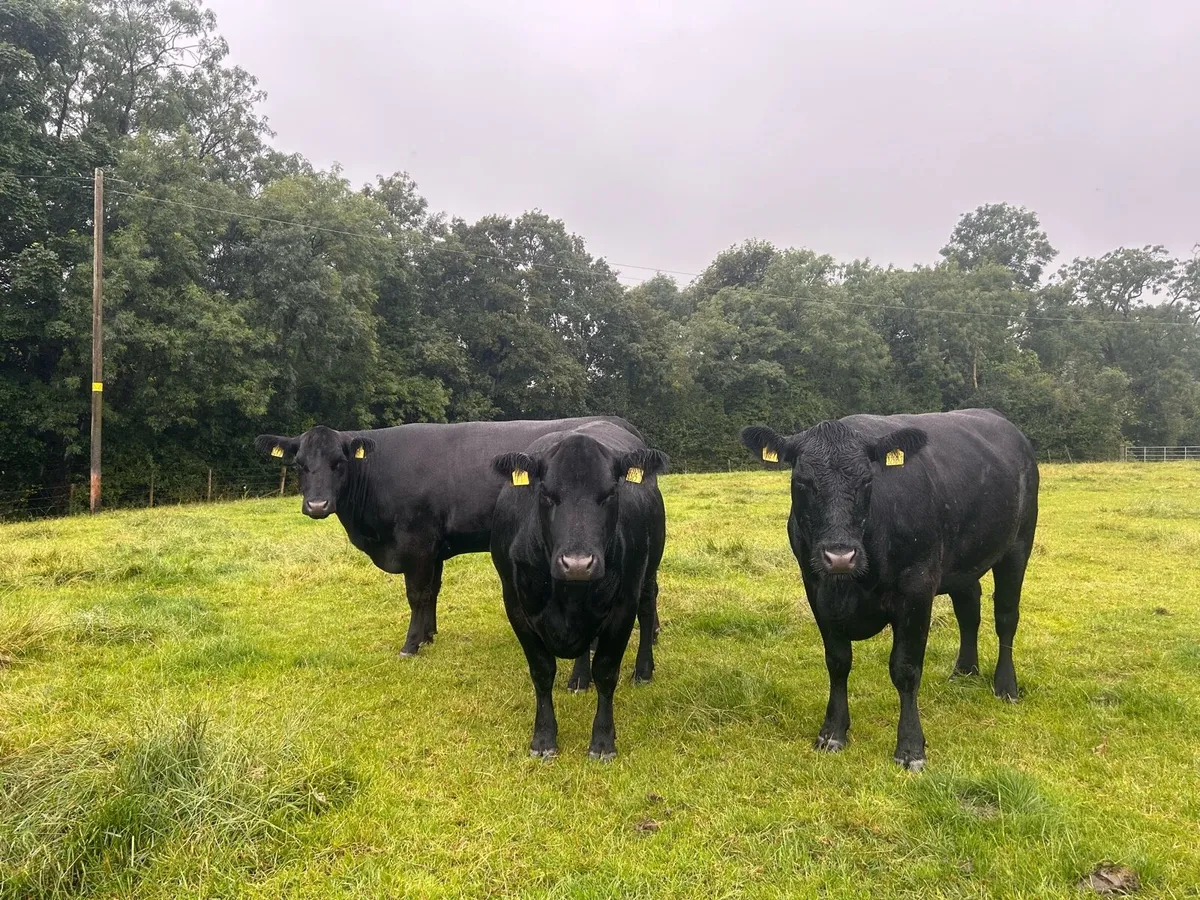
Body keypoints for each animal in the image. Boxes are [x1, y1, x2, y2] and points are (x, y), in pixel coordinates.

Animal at [254, 417, 653, 664]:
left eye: (339, 462)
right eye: (300, 464)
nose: (317, 505)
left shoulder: (416, 542)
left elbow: (417, 594)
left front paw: (411, 644)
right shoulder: (434, 548)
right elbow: (432, 591)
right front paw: (428, 635)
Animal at [489, 420, 668, 760]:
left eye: (610, 494)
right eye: (546, 494)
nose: (577, 564)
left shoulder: (623, 606)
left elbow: (607, 672)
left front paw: (603, 741)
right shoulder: (516, 606)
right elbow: (542, 671)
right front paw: (543, 739)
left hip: (648, 571)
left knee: (648, 611)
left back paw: (643, 670)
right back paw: (579, 678)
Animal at [740, 408, 1038, 771]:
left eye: (867, 481)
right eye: (802, 482)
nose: (840, 556)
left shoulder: (917, 589)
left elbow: (905, 669)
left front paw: (910, 748)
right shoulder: (816, 589)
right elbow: (837, 662)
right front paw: (833, 732)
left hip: (1019, 544)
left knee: (1005, 616)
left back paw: (1006, 686)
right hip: (963, 564)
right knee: (969, 612)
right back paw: (964, 673)